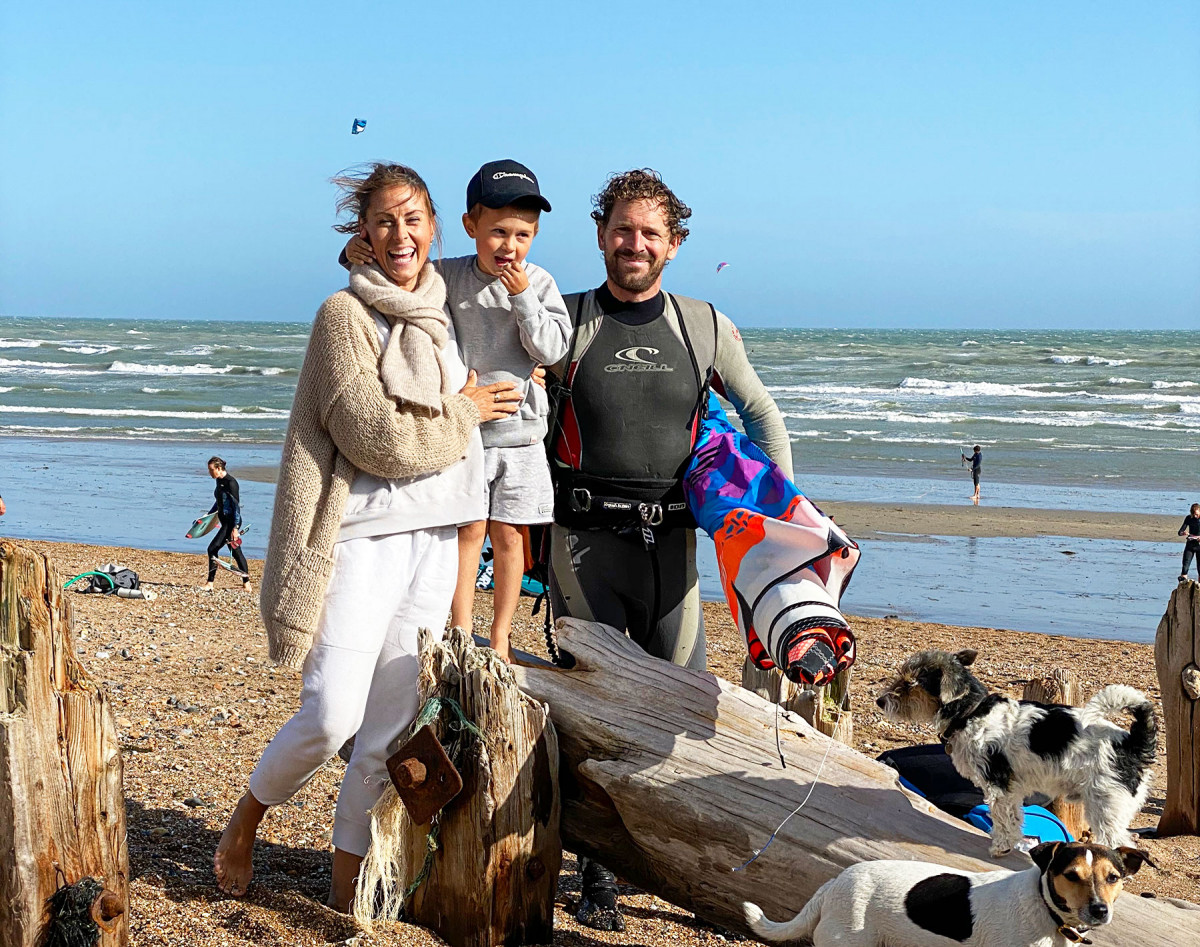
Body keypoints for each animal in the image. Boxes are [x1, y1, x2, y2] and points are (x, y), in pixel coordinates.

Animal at [878, 648, 1156, 859]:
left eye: (910, 683)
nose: (880, 701)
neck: (971, 712)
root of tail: (1132, 742)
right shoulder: (1012, 790)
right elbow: (1014, 817)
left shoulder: (998, 785)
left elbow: (1003, 819)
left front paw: (1001, 846)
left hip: (1105, 805)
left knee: (1120, 842)